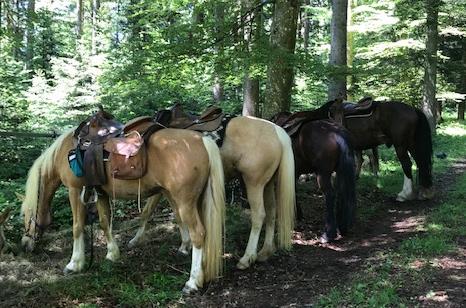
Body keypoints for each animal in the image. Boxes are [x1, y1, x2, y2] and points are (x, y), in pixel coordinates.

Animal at [20, 109, 225, 292]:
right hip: (195, 200)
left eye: (26, 217)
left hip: (185, 202)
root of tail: (203, 140)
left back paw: (192, 282)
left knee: (199, 233)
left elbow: (77, 226)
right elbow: (104, 222)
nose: (24, 244)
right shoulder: (100, 192)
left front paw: (74, 263)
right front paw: (112, 253)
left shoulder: (74, 189)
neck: (66, 151)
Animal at [128, 113, 294, 270]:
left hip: (254, 184)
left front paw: (136, 239)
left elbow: (148, 211)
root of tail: (277, 131)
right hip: (267, 184)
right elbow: (165, 214)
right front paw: (183, 246)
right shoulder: (166, 188)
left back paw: (247, 258)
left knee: (259, 216)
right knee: (272, 211)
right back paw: (265, 251)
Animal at [272, 112, 354, 244]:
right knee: (343, 191)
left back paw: (328, 234)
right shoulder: (295, 172)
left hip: (322, 173)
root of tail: (336, 133)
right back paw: (342, 227)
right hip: (341, 170)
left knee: (330, 194)